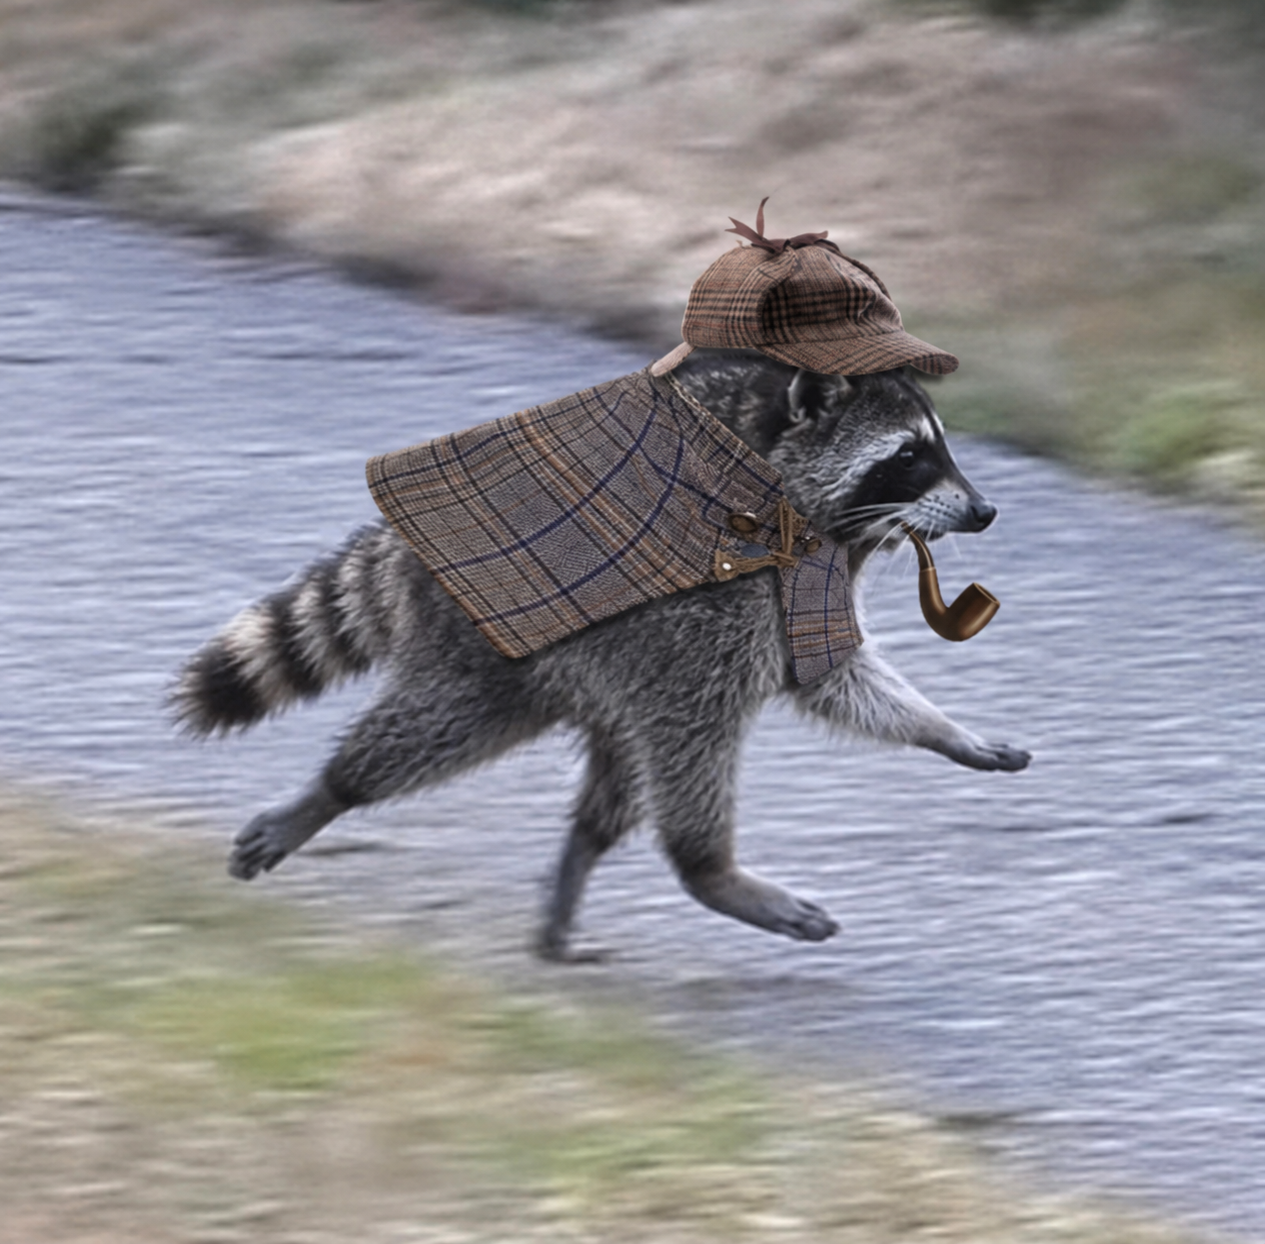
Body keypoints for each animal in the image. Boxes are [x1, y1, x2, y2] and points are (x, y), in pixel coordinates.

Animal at [174, 351, 1030, 959]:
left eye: (939, 450)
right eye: (909, 456)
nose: (986, 511)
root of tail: (409, 540)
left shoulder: (791, 592)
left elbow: (831, 673)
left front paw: (942, 729)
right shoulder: (716, 601)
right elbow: (743, 705)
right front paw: (705, 867)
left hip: (608, 669)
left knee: (622, 766)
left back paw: (576, 865)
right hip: (498, 644)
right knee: (450, 728)